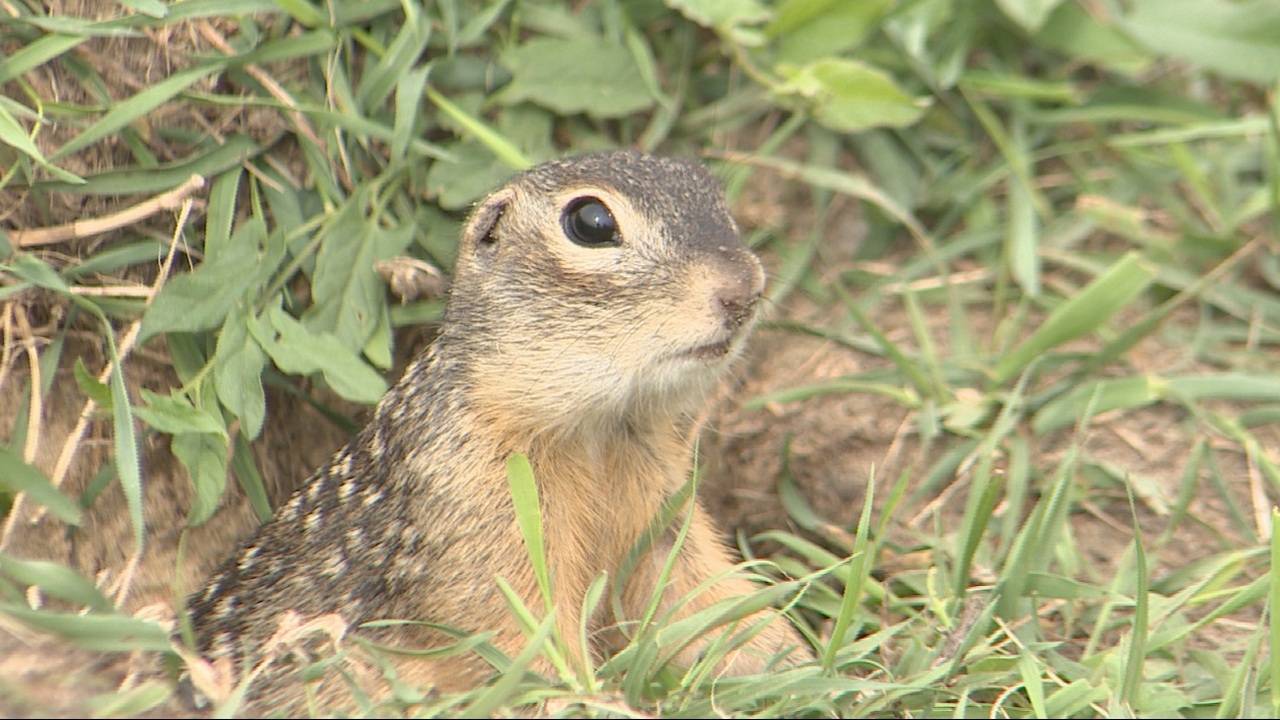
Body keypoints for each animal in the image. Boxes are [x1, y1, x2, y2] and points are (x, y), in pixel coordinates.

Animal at [186, 148, 808, 707]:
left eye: (713, 192)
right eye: (591, 222)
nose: (745, 289)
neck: (598, 432)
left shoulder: (663, 514)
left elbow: (707, 601)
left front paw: (798, 668)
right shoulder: (477, 509)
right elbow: (522, 636)